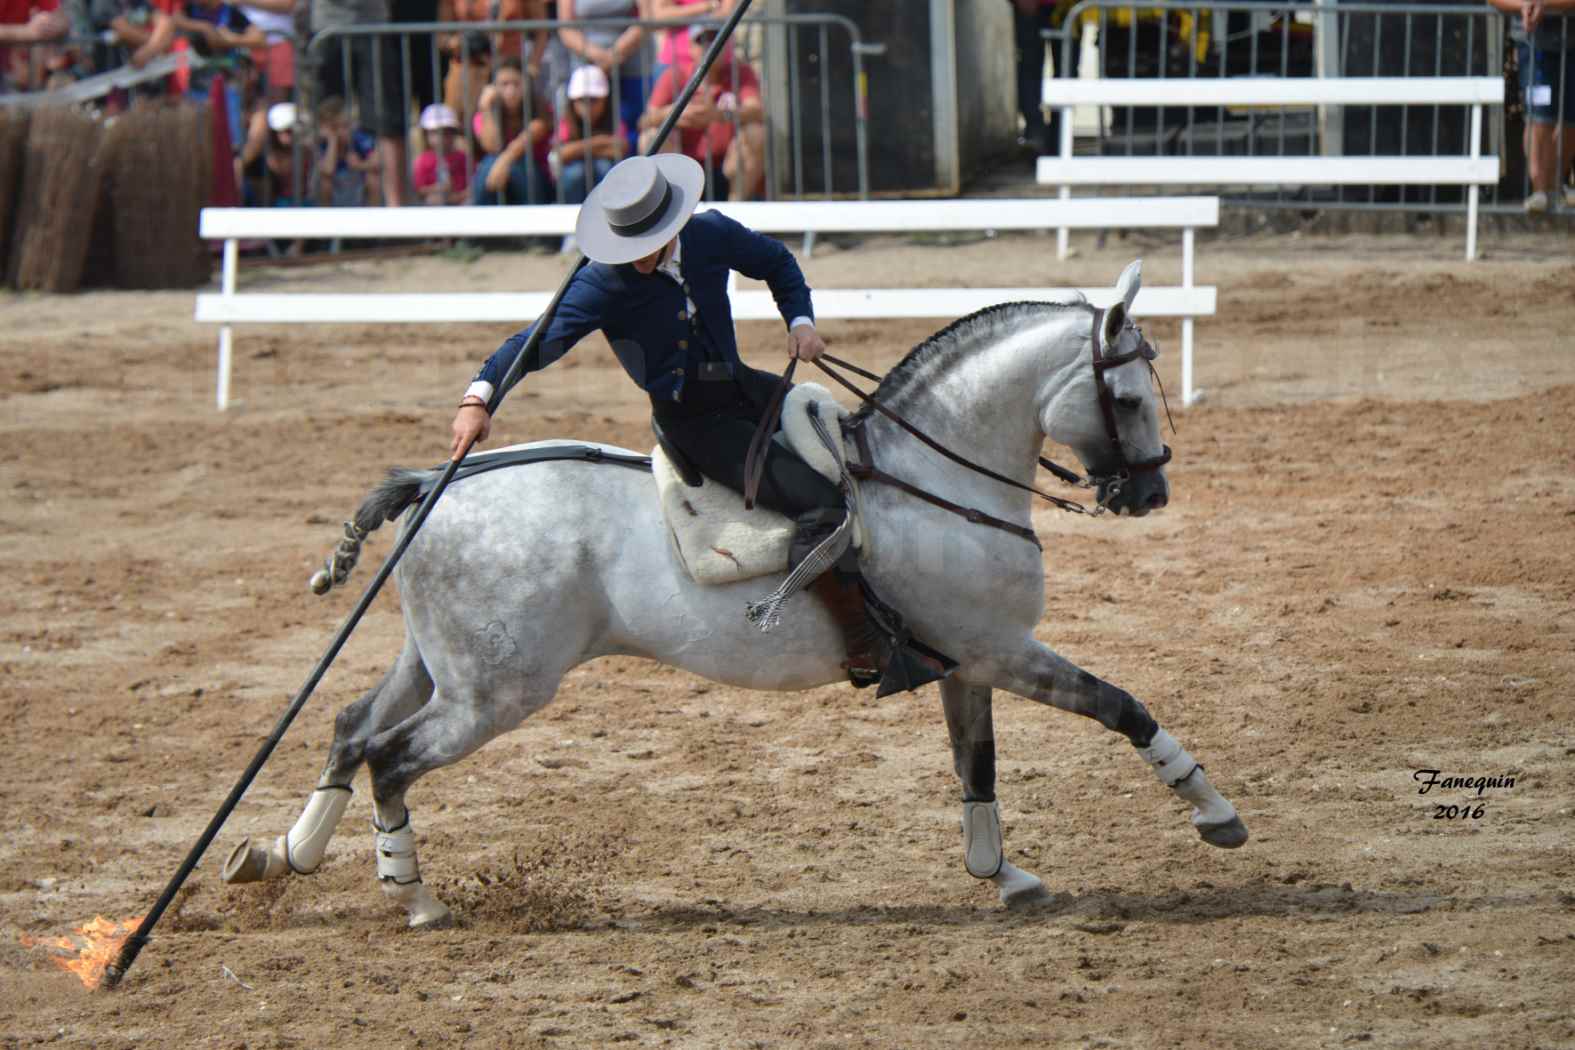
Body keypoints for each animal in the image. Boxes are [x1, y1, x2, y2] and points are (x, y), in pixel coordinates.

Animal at [225, 262, 1241, 925]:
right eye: (1130, 397)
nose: (1149, 492)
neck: (932, 477)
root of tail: (434, 484)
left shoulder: (964, 665)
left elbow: (976, 769)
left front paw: (1002, 877)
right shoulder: (999, 651)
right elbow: (1119, 705)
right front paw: (1214, 814)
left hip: (438, 665)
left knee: (349, 729)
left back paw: (283, 854)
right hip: (493, 693)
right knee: (389, 758)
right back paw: (416, 898)